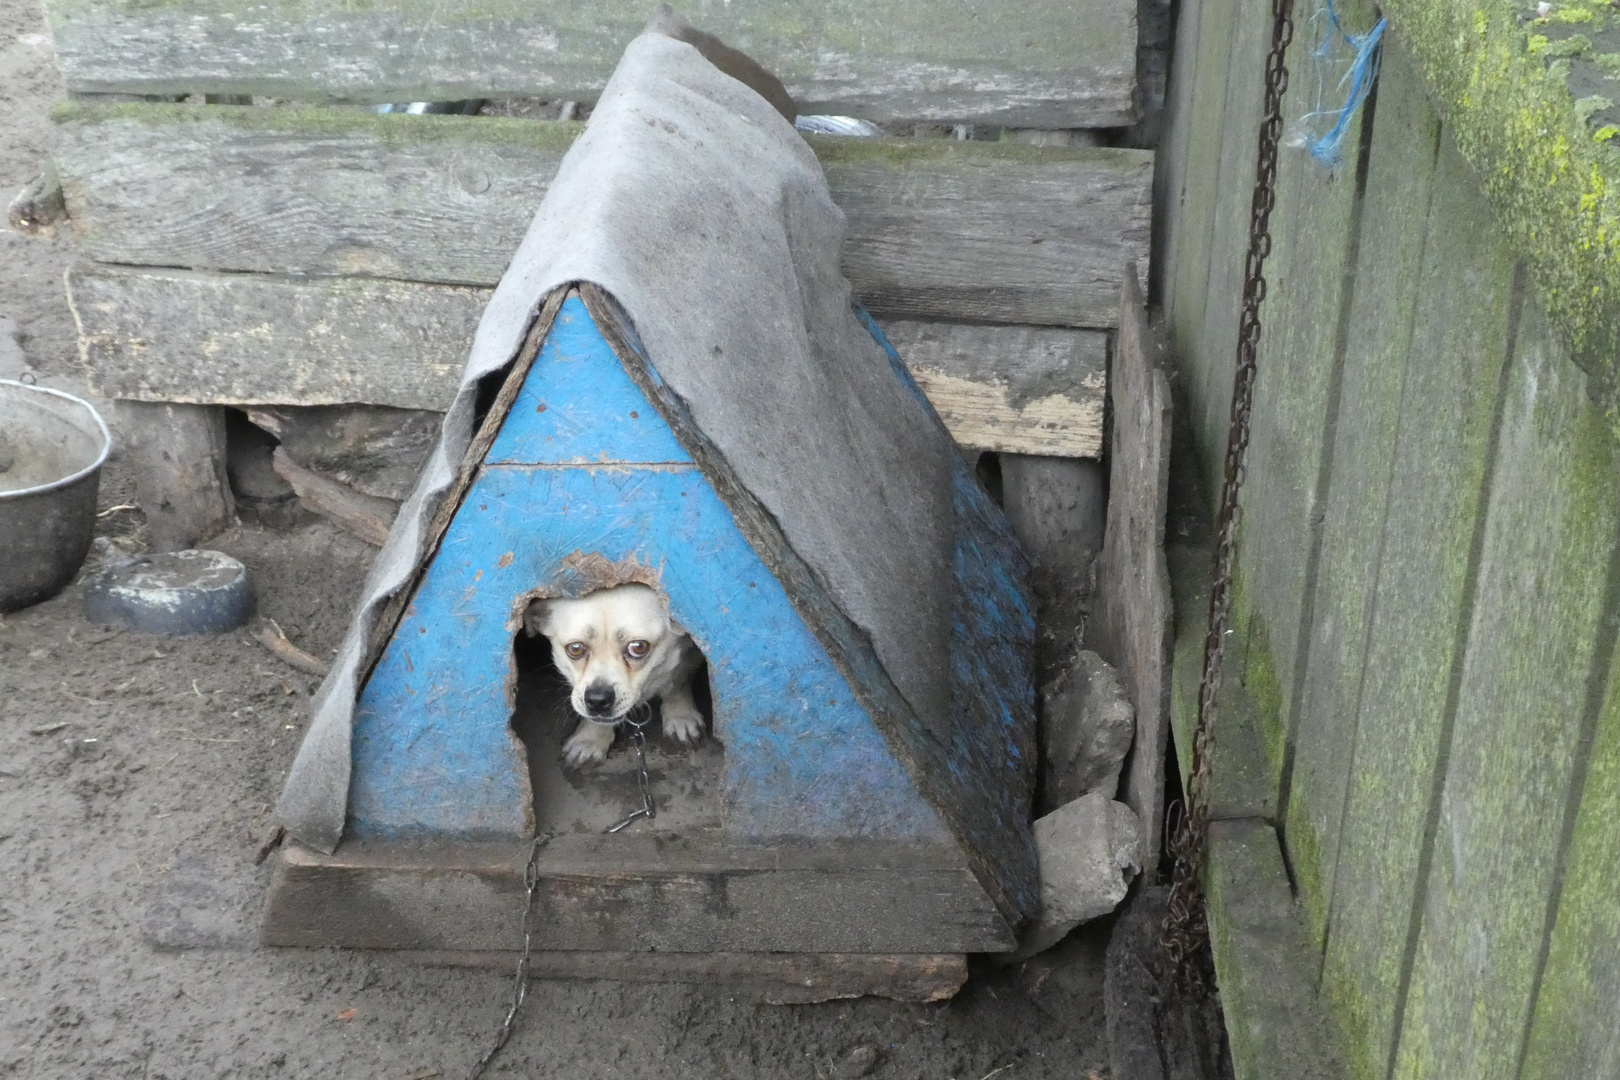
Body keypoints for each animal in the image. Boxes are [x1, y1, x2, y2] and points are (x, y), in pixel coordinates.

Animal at [524, 582, 709, 767]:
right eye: (575, 648)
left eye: (638, 647)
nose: (597, 700)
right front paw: (590, 739)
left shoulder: (690, 650)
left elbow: (677, 681)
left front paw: (680, 716)